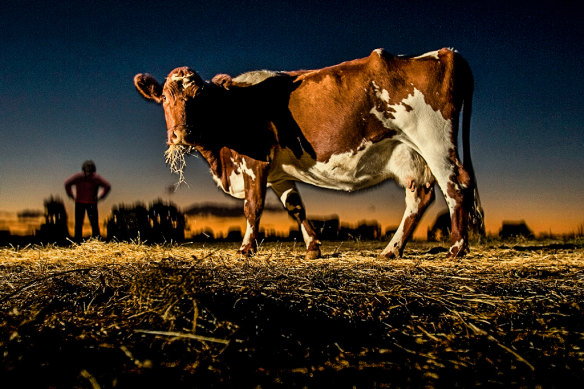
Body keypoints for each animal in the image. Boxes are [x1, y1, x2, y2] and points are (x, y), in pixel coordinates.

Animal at [133, 48, 484, 260]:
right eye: (165, 98)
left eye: (200, 99)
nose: (181, 134)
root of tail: (446, 52)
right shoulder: (279, 172)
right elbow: (296, 207)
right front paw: (313, 247)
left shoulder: (255, 163)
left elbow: (252, 207)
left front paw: (246, 249)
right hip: (409, 153)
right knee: (419, 195)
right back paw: (392, 250)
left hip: (435, 141)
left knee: (456, 186)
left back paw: (456, 248)